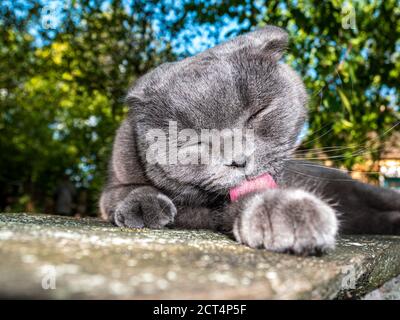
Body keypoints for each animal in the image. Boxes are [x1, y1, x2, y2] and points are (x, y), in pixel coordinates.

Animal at [99, 25, 400, 255]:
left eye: (258, 113)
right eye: (192, 142)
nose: (238, 159)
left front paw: (287, 212)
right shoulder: (116, 178)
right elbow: (123, 191)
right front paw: (143, 205)